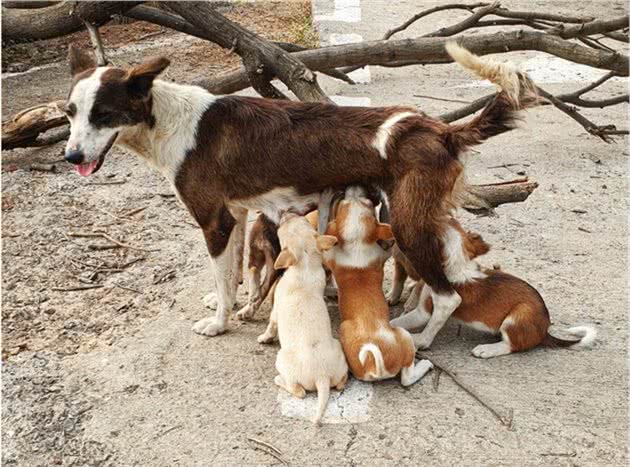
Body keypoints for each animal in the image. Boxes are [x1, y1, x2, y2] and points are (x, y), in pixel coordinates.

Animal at [63, 43, 540, 340]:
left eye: (103, 114)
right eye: (69, 112)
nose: (70, 156)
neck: (170, 121)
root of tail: (438, 128)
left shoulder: (213, 222)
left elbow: (224, 276)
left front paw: (219, 323)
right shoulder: (236, 216)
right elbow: (234, 273)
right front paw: (232, 301)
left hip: (408, 225)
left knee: (447, 295)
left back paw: (421, 339)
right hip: (424, 219)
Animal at [260, 214, 354, 426]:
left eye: (282, 231)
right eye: (304, 221)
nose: (287, 213)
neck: (305, 266)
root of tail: (322, 377)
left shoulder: (276, 310)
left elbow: (271, 325)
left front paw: (264, 338)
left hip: (283, 360)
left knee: (299, 391)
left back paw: (279, 380)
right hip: (338, 355)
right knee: (340, 382)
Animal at [326, 187, 434, 388]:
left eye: (365, 202)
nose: (353, 187)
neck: (356, 245)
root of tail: (373, 366)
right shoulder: (384, 255)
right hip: (404, 335)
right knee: (407, 377)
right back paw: (425, 364)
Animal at [392, 219, 600, 358]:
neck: (457, 264)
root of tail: (544, 332)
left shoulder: (437, 308)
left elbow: (426, 328)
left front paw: (419, 340)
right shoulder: (422, 311)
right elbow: (397, 322)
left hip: (519, 315)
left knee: (512, 346)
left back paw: (487, 349)